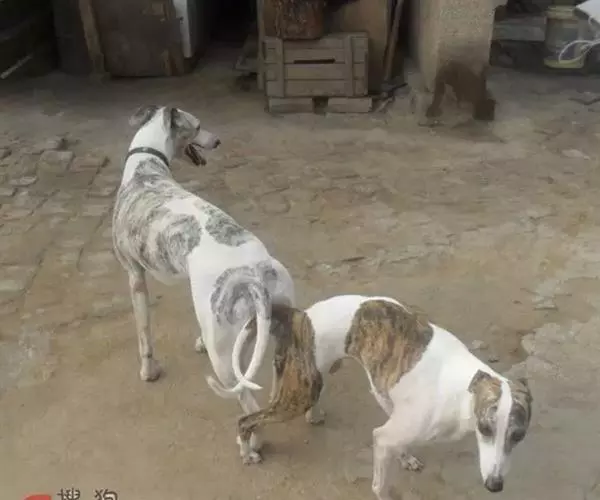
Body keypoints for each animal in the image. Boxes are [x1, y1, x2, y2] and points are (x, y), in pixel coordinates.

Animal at [112, 105, 295, 463]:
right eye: (197, 126)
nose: (218, 140)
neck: (146, 170)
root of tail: (253, 274)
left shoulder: (134, 276)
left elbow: (144, 334)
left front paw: (148, 371)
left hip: (224, 360)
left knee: (246, 403)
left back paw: (251, 446)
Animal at [234, 295, 533, 499]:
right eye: (485, 428)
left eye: (518, 435)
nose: (494, 486)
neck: (461, 393)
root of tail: (300, 315)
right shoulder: (383, 436)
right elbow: (381, 485)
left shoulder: (393, 406)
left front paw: (406, 457)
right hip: (297, 397)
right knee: (245, 420)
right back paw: (247, 452)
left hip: (303, 381)